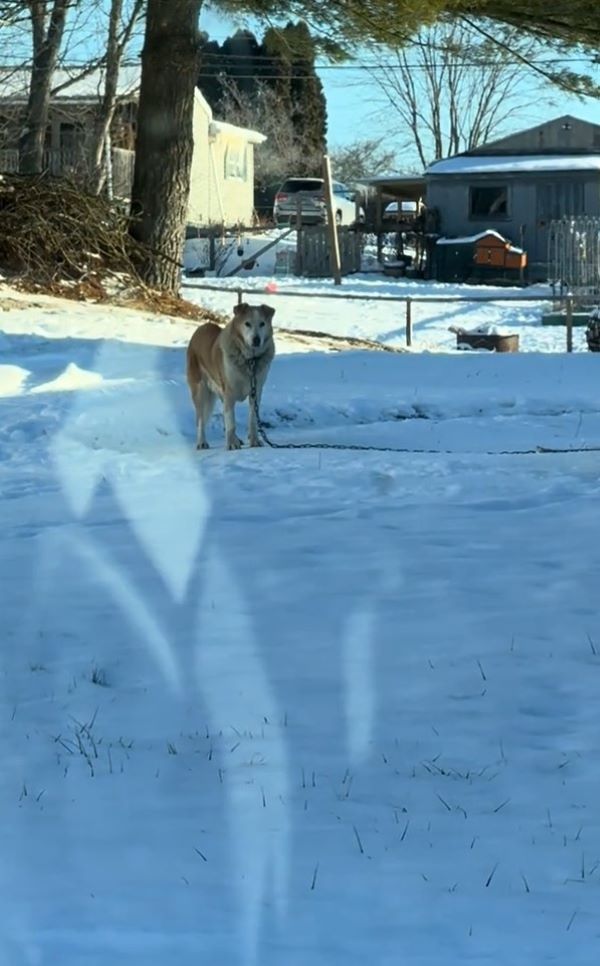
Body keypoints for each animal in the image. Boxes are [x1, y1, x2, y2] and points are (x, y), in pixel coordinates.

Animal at [185, 304, 276, 452]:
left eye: (262, 324)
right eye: (247, 324)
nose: (256, 340)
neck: (249, 360)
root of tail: (201, 327)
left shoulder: (256, 391)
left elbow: (252, 420)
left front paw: (254, 441)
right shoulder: (229, 391)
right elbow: (231, 421)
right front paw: (232, 444)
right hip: (200, 390)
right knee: (200, 419)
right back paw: (202, 442)